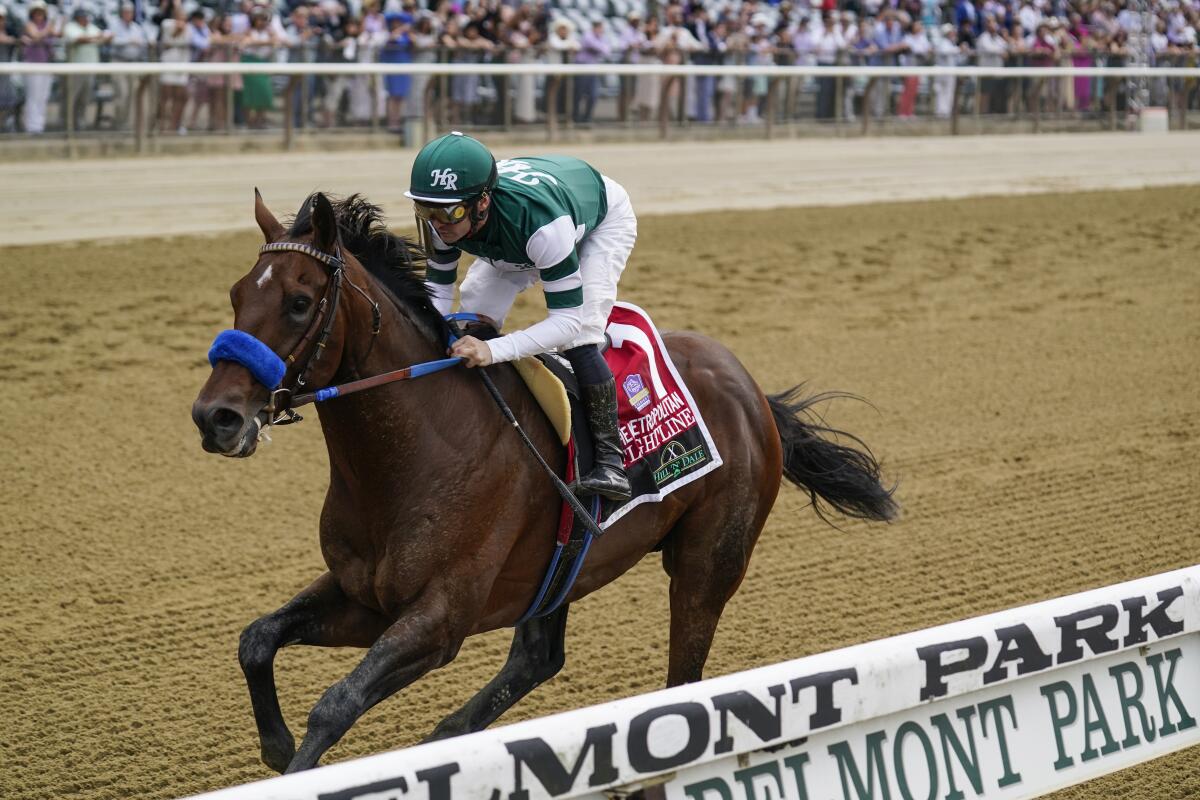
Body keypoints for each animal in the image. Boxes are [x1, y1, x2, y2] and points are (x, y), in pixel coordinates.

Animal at [189, 191, 902, 777]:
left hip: (708, 564)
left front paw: (296, 763)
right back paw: (449, 739)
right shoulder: (364, 596)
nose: (215, 417)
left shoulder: (440, 619)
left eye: (299, 301)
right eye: (236, 295)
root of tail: (749, 385)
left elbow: (336, 703)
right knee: (538, 657)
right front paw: (276, 745)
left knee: (683, 678)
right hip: (561, 569)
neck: (416, 452)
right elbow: (256, 639)